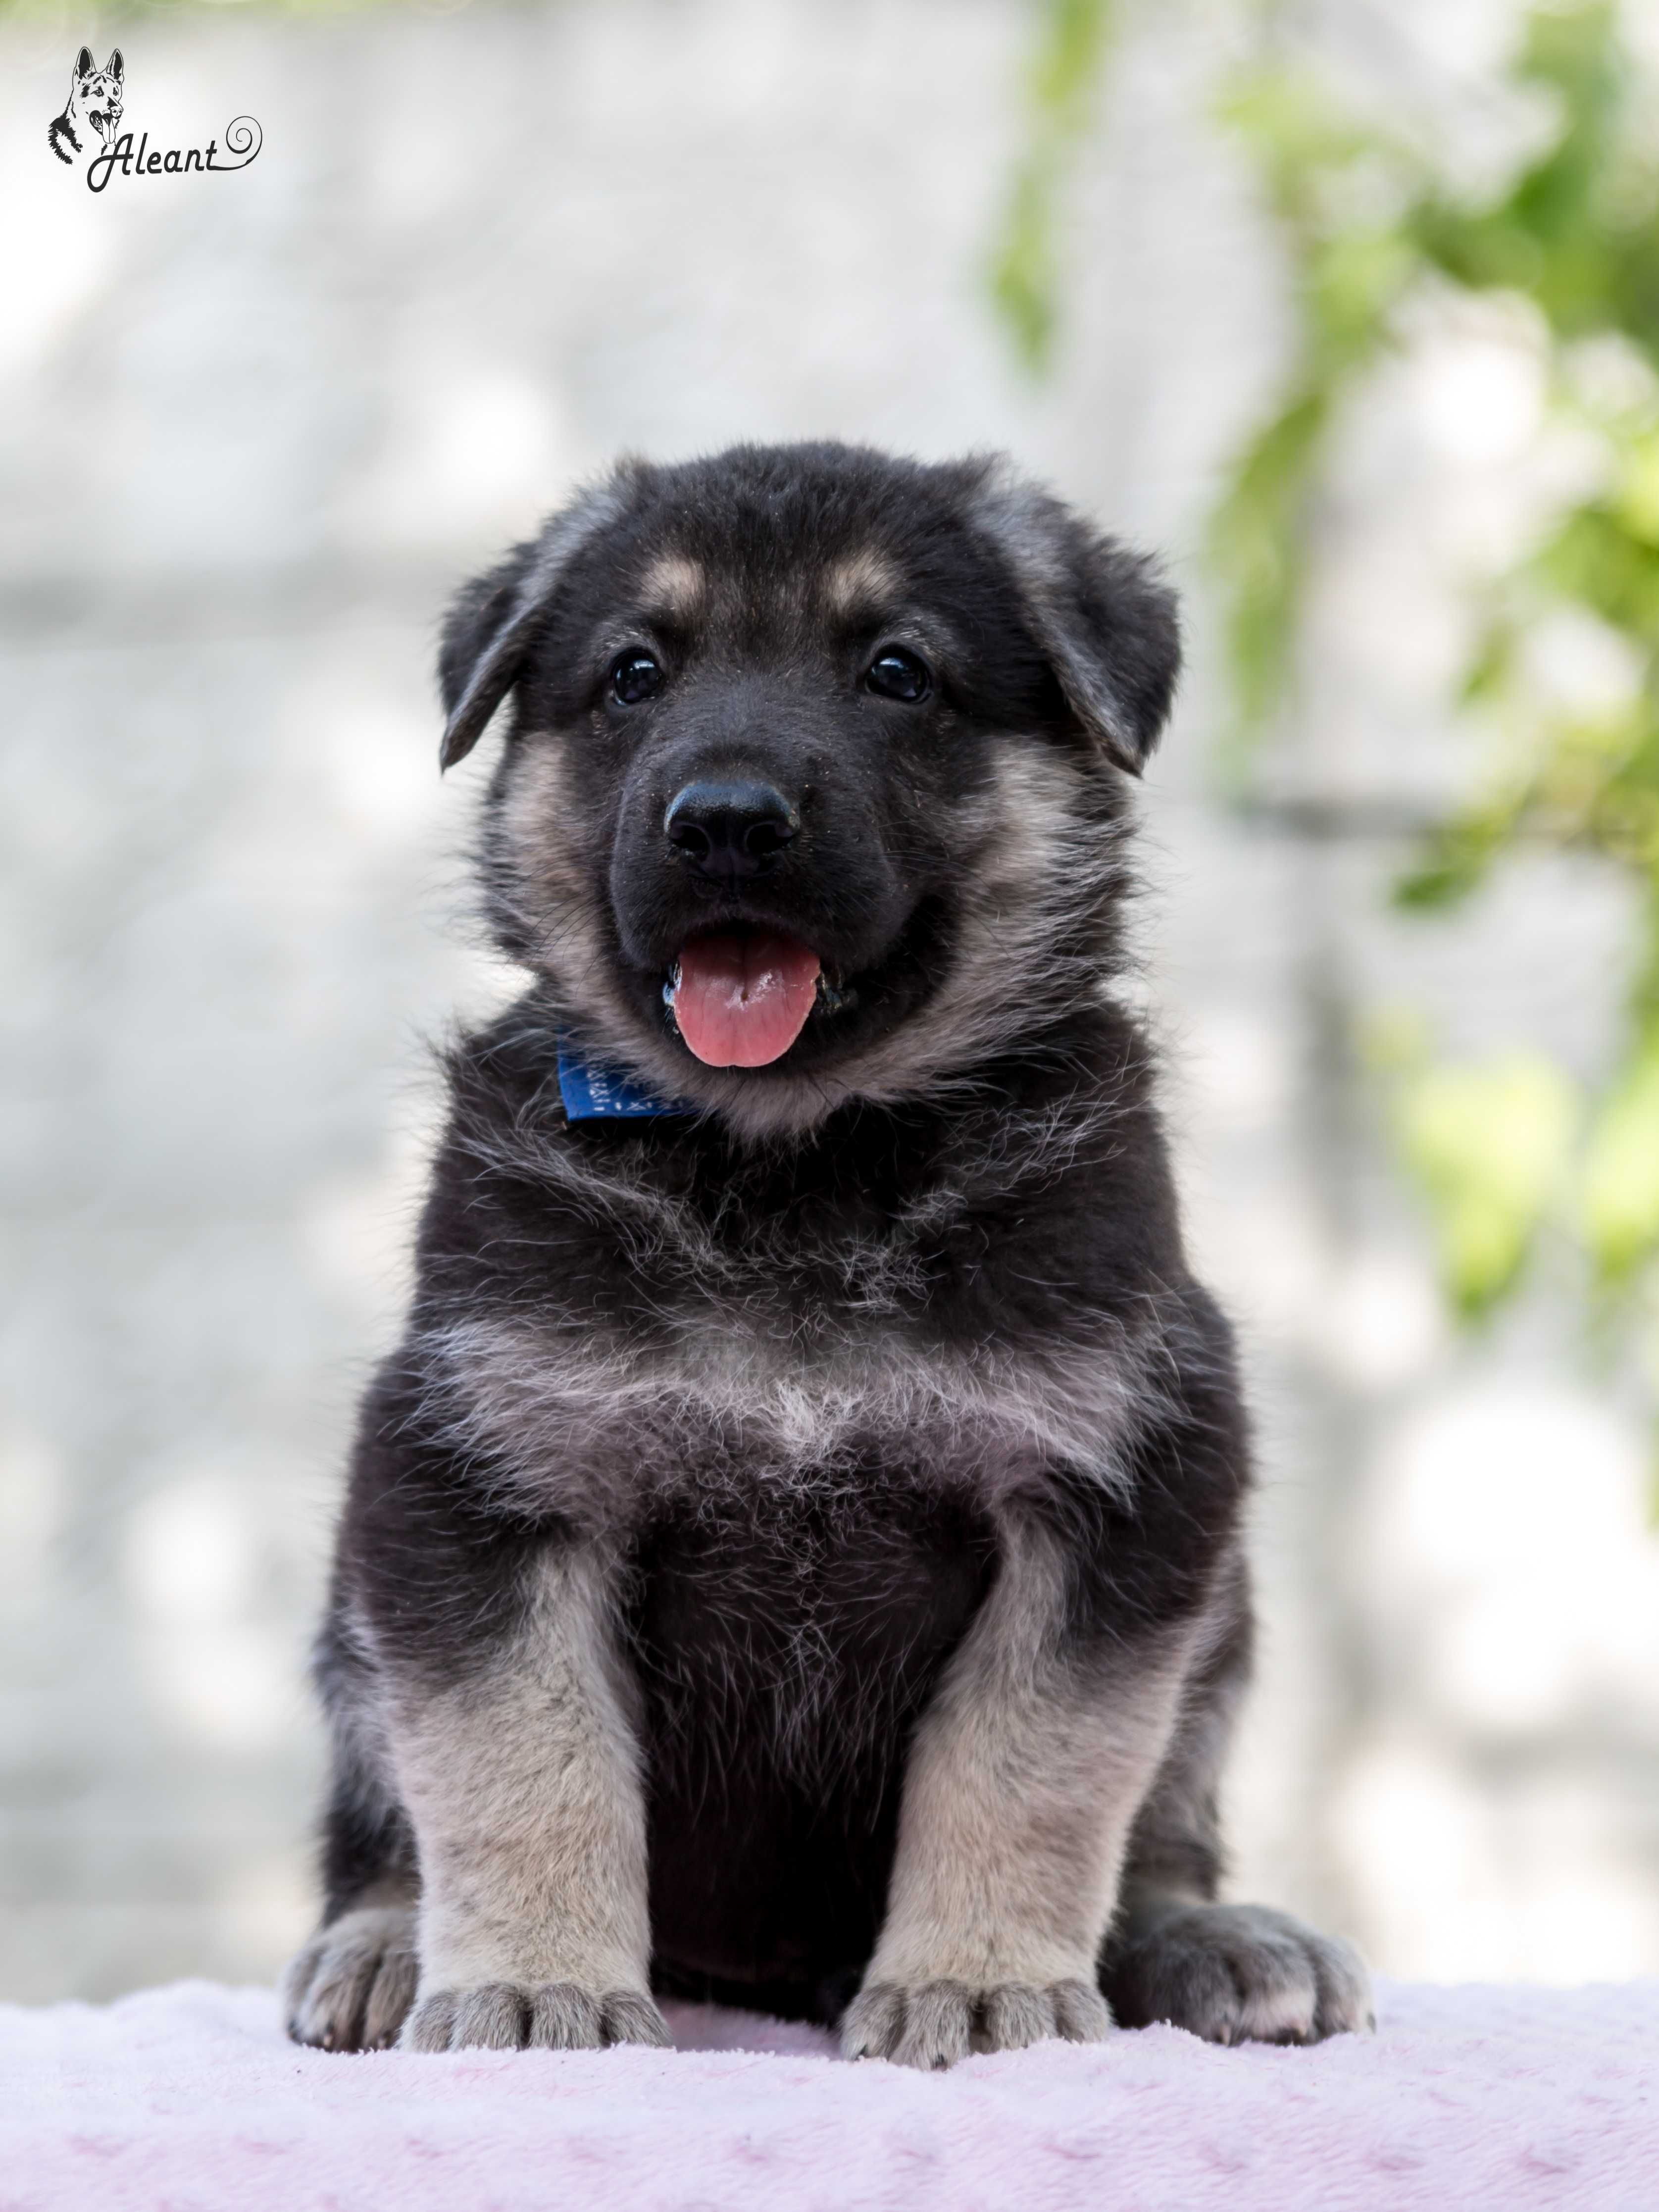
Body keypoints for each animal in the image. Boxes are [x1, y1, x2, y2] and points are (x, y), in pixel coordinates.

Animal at [285, 440, 1380, 2061]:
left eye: (896, 671)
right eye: (633, 674)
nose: (727, 820)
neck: (794, 1164)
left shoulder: (1114, 1490)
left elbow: (1028, 1762)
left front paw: (976, 1980)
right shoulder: (479, 1479)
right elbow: (518, 1758)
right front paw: (540, 1983)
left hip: (1220, 1616)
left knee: (1160, 1838)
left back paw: (1206, 1939)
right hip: (354, 1631)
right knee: (381, 1832)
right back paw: (381, 1947)